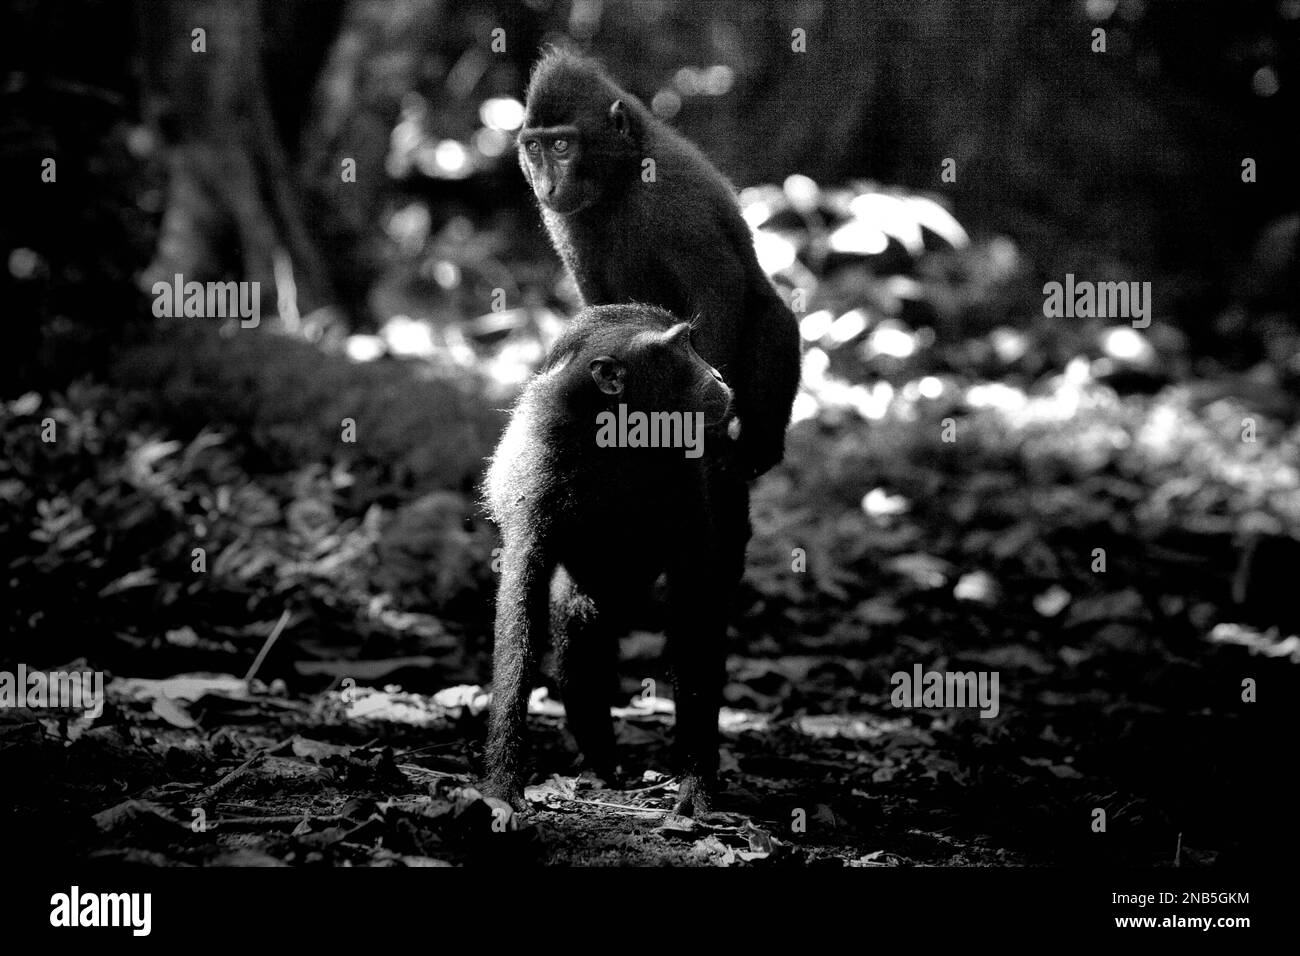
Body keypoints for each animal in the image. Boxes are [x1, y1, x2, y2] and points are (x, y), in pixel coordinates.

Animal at [486, 306, 738, 816]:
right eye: (681, 348)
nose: (719, 375)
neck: (617, 438)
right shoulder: (539, 469)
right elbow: (521, 609)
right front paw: (503, 782)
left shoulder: (682, 470)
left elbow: (695, 604)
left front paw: (697, 782)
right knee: (579, 620)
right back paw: (600, 760)